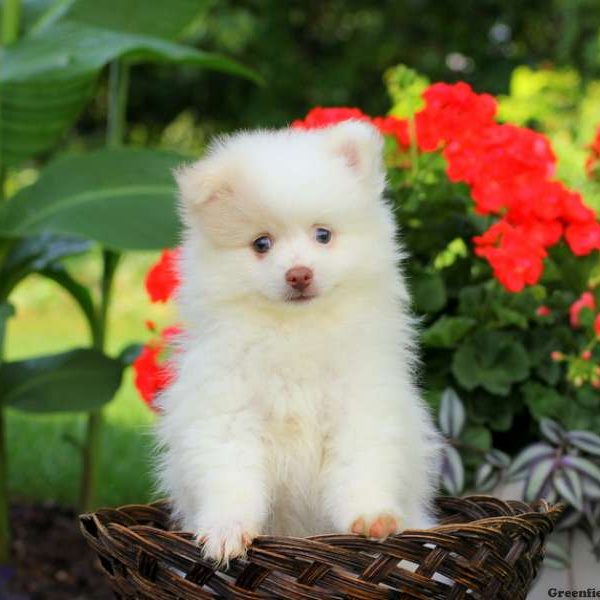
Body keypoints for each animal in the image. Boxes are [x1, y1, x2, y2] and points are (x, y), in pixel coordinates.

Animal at [155, 120, 440, 564]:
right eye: (261, 243)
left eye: (323, 235)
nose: (299, 274)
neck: (295, 331)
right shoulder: (225, 410)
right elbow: (230, 474)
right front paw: (226, 530)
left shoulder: (361, 407)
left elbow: (361, 465)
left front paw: (372, 517)